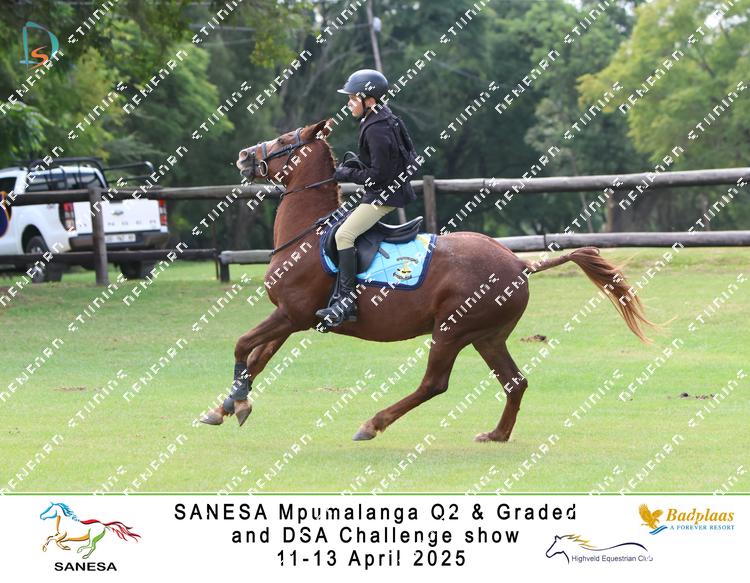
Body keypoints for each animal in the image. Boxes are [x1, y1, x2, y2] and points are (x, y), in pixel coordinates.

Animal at [201, 118, 654, 442]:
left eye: (283, 141)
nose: (243, 155)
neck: (307, 235)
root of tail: (517, 264)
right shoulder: (293, 317)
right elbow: (258, 359)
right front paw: (227, 406)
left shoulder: (292, 313)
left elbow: (242, 345)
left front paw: (235, 404)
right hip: (486, 335)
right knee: (515, 381)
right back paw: (497, 434)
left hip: (451, 331)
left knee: (434, 383)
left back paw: (372, 424)